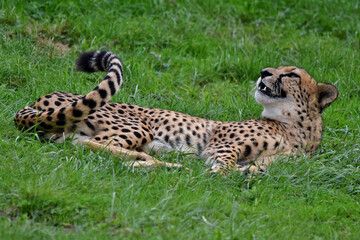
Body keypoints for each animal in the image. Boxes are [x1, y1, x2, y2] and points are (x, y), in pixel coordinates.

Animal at [14, 50, 338, 174]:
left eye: (291, 74)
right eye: (276, 69)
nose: (263, 72)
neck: (295, 130)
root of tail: (36, 101)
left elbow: (260, 168)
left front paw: (249, 173)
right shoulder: (219, 147)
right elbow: (226, 165)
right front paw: (223, 173)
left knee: (81, 145)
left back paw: (158, 163)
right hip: (137, 126)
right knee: (92, 144)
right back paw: (158, 163)